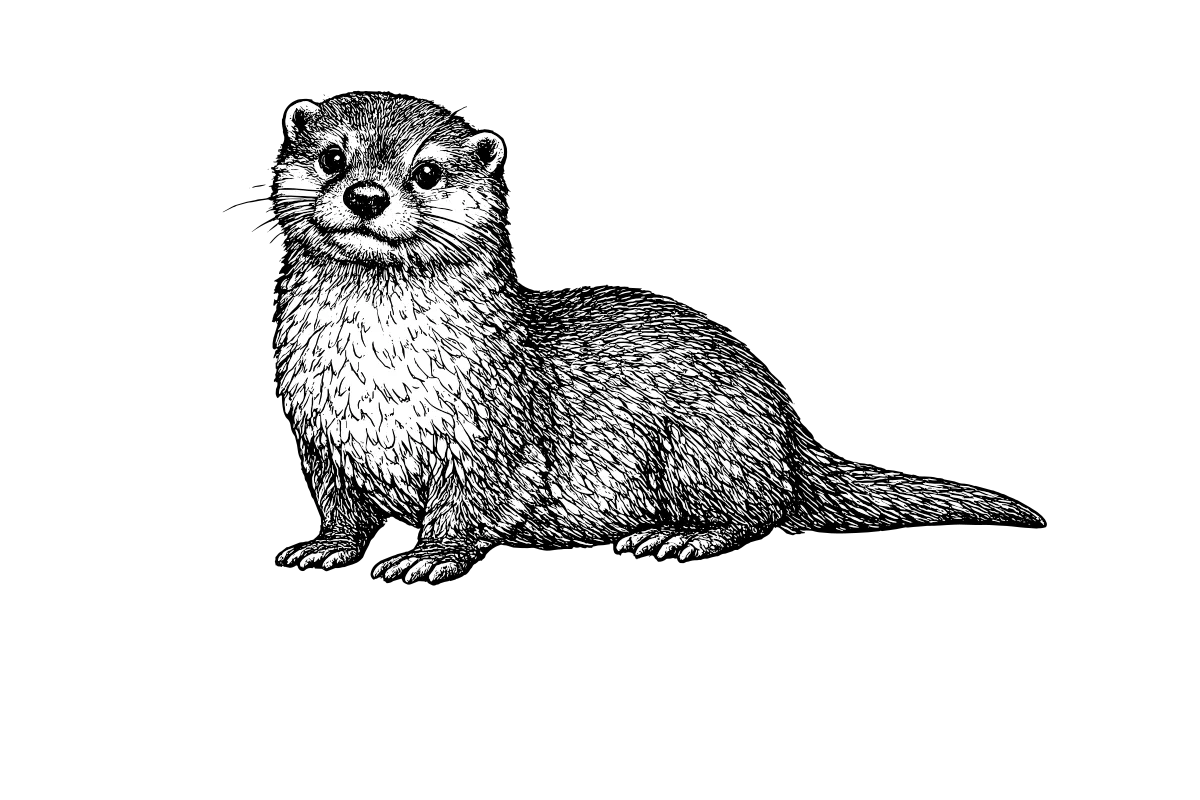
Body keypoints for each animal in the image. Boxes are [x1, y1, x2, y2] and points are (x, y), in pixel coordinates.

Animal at [273, 94, 1041, 582]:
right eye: (333, 157)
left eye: (427, 171)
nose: (366, 195)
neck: (377, 377)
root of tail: (791, 440)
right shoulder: (321, 442)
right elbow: (342, 510)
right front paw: (326, 546)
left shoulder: (495, 439)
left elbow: (474, 510)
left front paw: (430, 556)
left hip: (709, 442)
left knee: (760, 513)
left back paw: (677, 536)